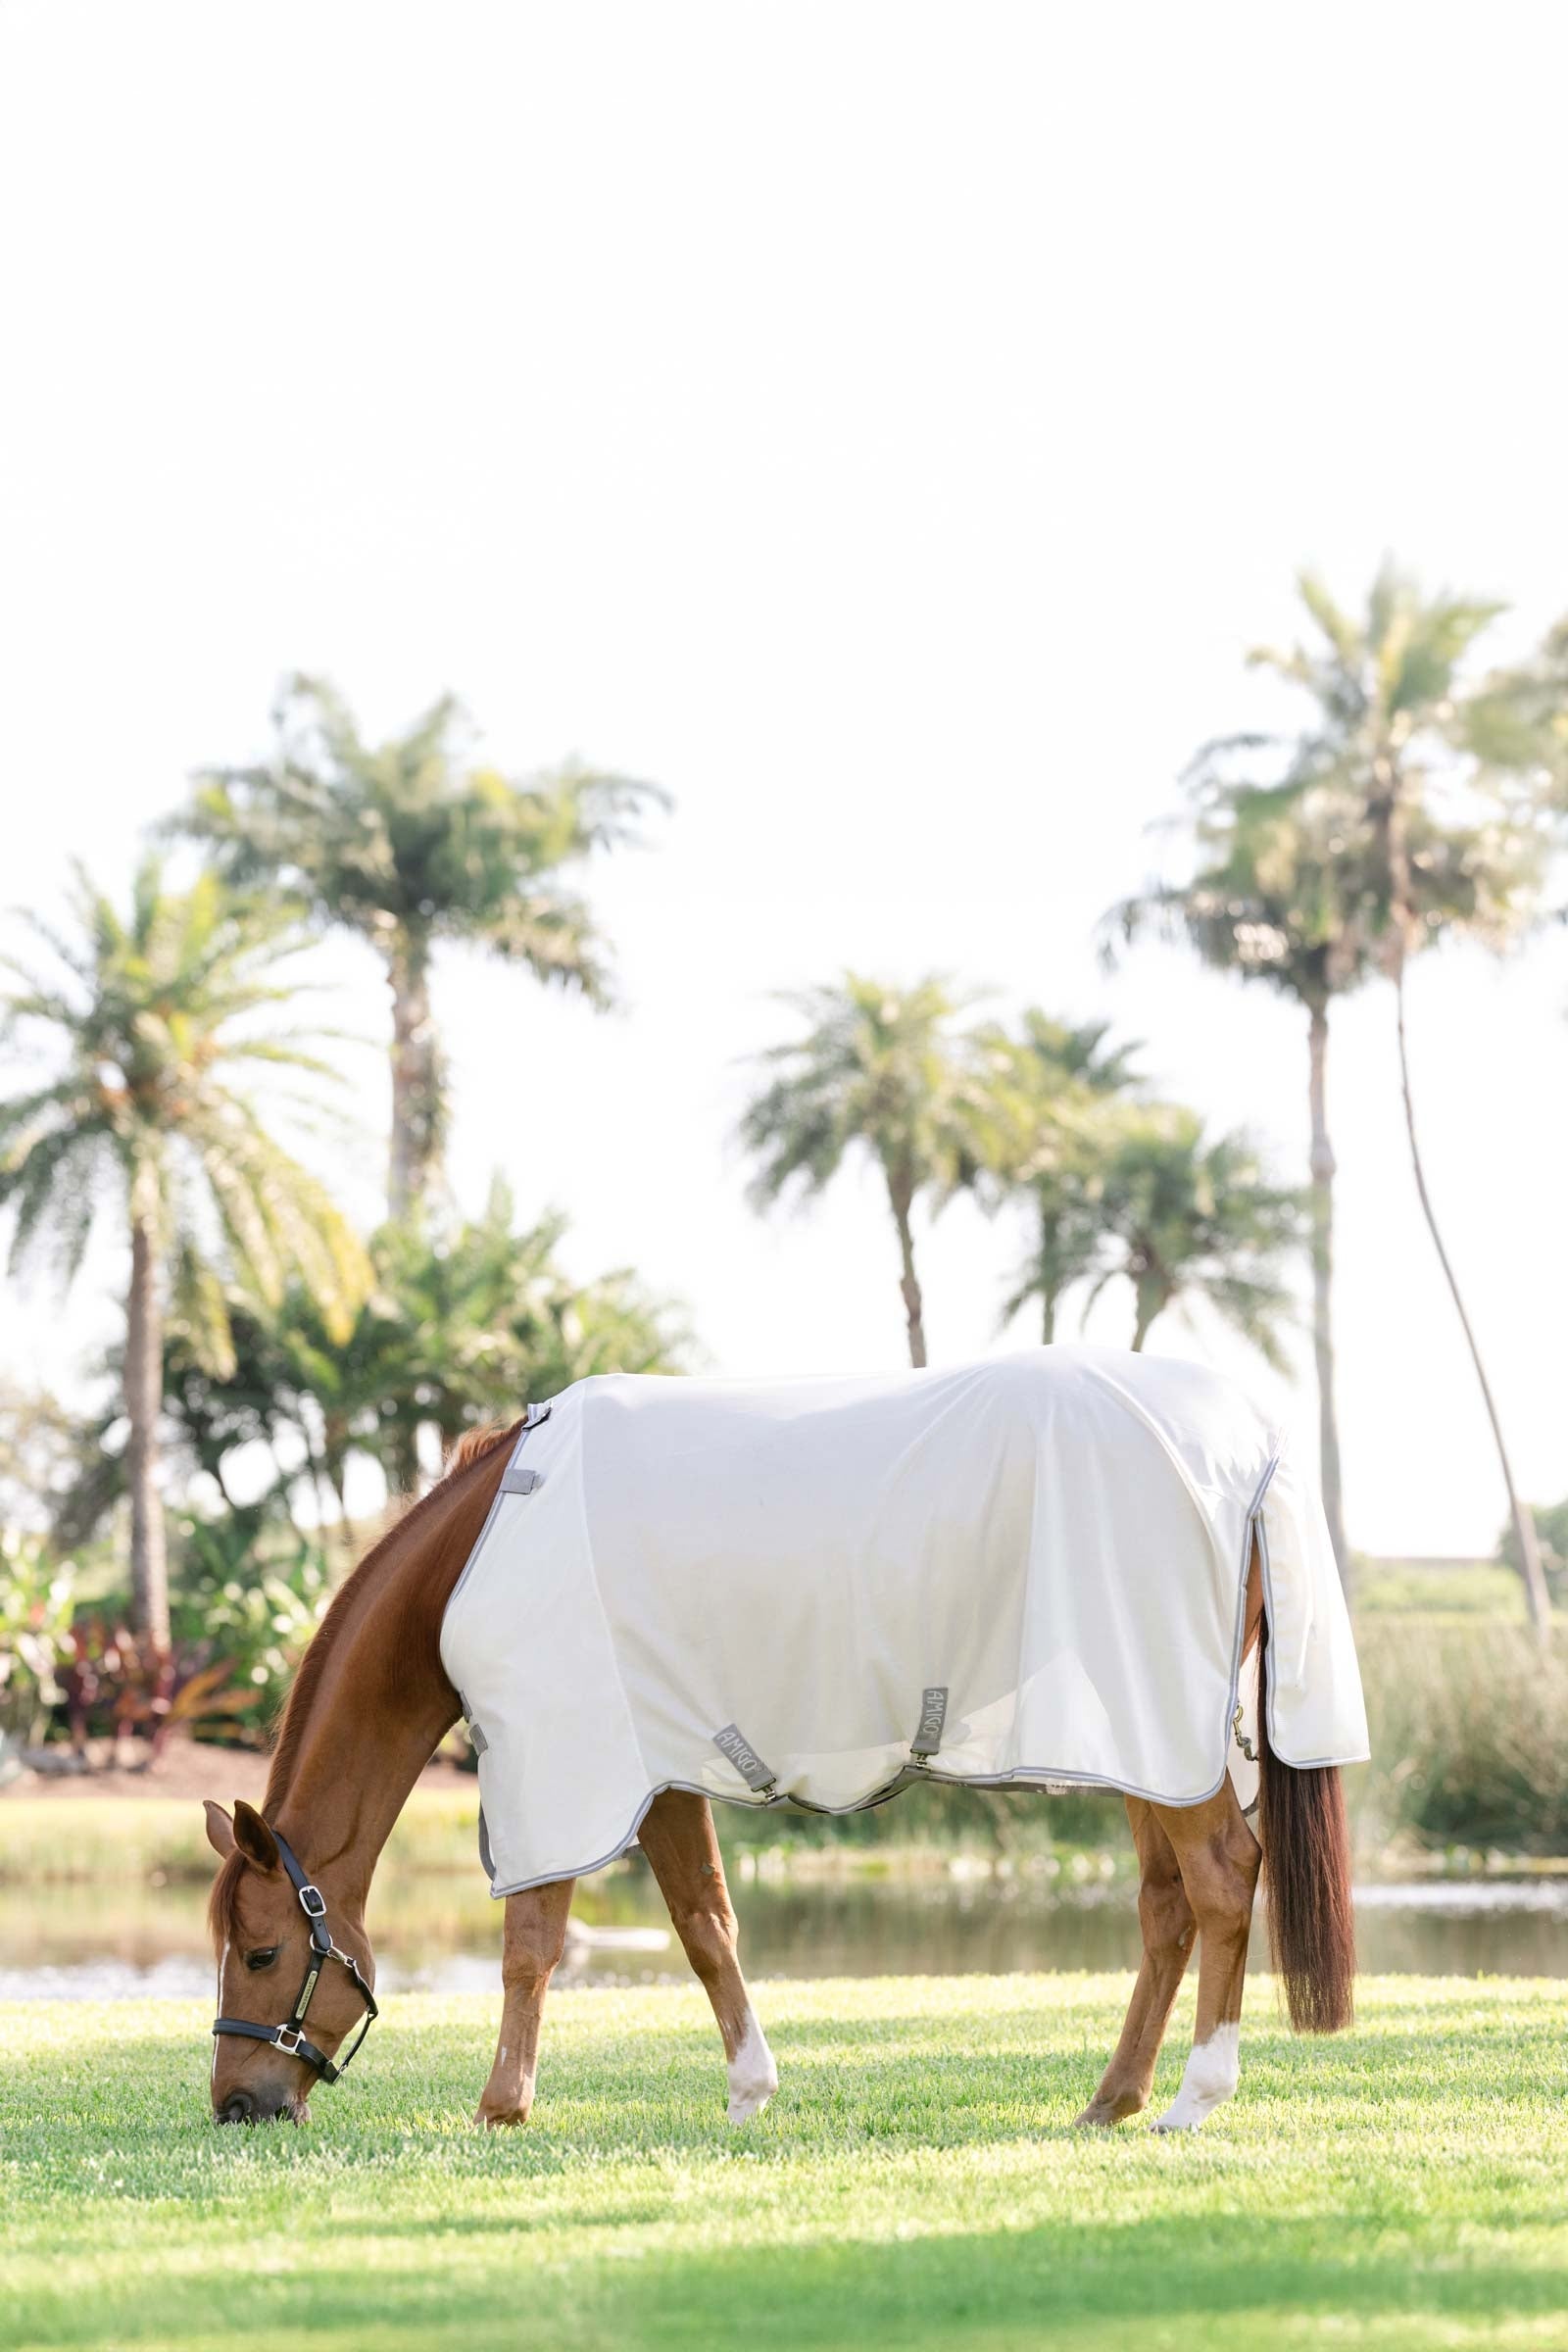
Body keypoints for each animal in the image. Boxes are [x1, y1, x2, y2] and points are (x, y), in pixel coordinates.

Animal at [205, 1360, 1359, 2135]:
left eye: (262, 1952)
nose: (236, 2104)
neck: (481, 1553)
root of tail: (1250, 1449)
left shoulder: (563, 1764)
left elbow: (531, 1945)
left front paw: (500, 2108)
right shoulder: (659, 1773)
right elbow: (705, 1925)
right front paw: (750, 2090)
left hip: (1160, 1732)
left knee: (1223, 1882)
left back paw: (1194, 2100)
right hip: (1144, 1739)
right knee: (1167, 1906)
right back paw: (1110, 2099)